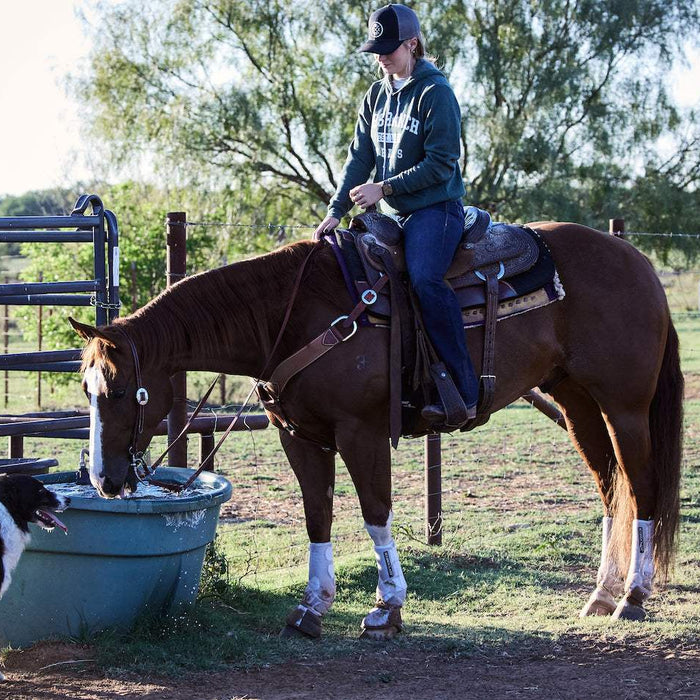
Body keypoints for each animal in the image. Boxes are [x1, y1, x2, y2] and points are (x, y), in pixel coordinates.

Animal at [71, 221, 684, 636]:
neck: (294, 316)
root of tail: (637, 261)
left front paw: (387, 606)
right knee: (612, 490)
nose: (104, 481)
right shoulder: (299, 435)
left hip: (625, 406)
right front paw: (312, 606)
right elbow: (317, 514)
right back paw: (601, 595)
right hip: (577, 402)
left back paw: (632, 597)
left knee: (643, 487)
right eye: (85, 389)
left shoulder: (360, 431)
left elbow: (375, 512)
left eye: (121, 391)